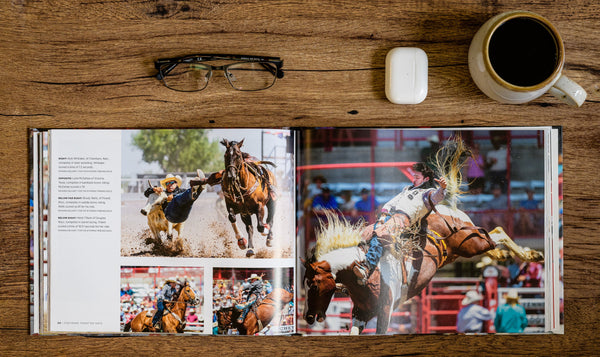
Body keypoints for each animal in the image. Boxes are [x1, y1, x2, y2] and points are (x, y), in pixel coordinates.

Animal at [302, 209, 540, 334]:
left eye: (313, 285)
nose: (308, 316)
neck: (365, 273)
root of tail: (445, 210)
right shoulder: (361, 313)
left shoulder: (385, 309)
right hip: (461, 249)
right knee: (493, 236)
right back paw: (505, 256)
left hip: (470, 243)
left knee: (496, 233)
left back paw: (532, 255)